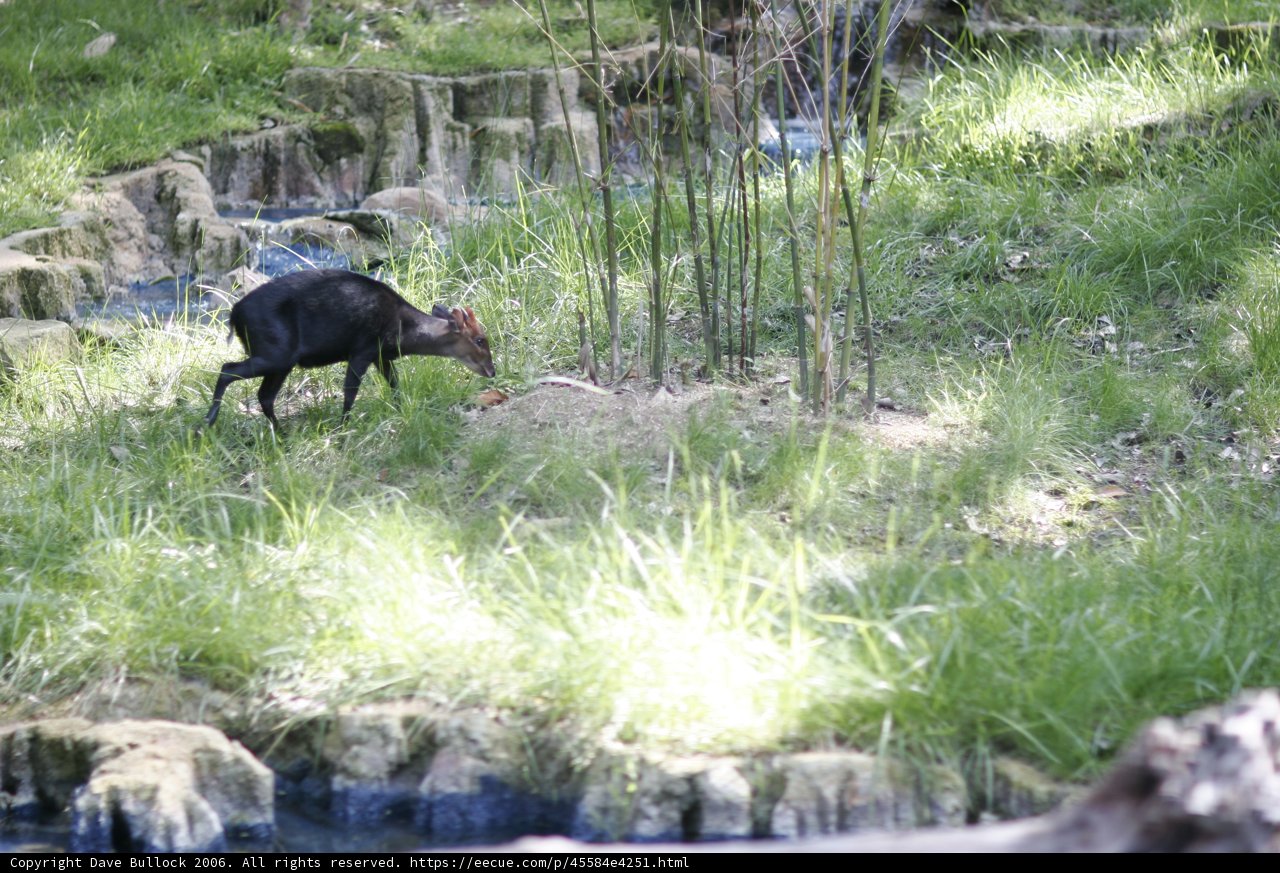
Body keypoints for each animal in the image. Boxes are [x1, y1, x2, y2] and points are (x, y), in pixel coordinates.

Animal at [202, 269, 494, 429]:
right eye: (480, 340)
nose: (492, 371)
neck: (403, 330)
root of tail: (234, 314)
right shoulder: (362, 349)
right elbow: (350, 391)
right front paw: (343, 428)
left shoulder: (380, 355)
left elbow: (394, 383)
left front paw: (402, 410)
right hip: (275, 353)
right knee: (227, 369)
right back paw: (208, 421)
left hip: (281, 360)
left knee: (264, 396)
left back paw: (281, 435)